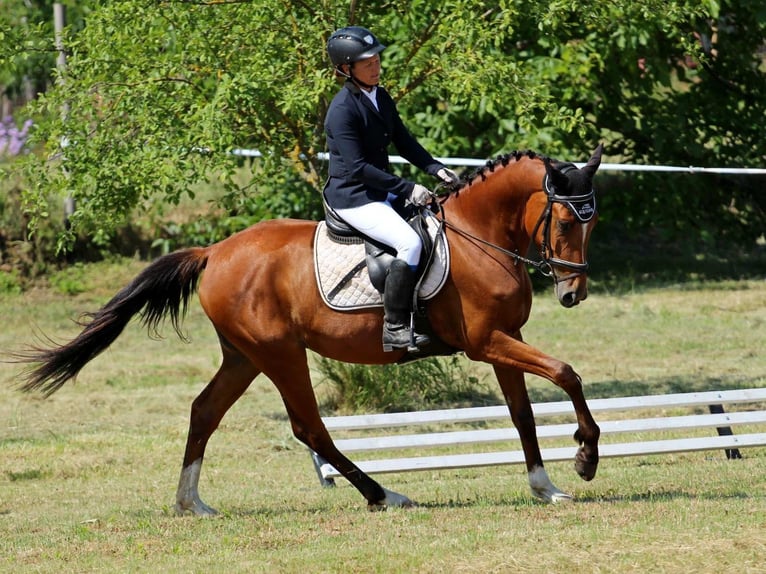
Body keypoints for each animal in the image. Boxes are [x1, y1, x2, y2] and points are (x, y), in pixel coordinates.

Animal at [13, 145, 604, 516]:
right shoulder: (485, 344)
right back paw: (383, 496)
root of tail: (214, 252)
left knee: (204, 411)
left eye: (591, 222)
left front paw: (546, 486)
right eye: (565, 221)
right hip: (279, 353)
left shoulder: (508, 341)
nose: (573, 294)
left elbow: (524, 413)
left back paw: (192, 503)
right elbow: (567, 374)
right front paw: (585, 458)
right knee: (309, 427)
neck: (478, 236)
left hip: (244, 356)